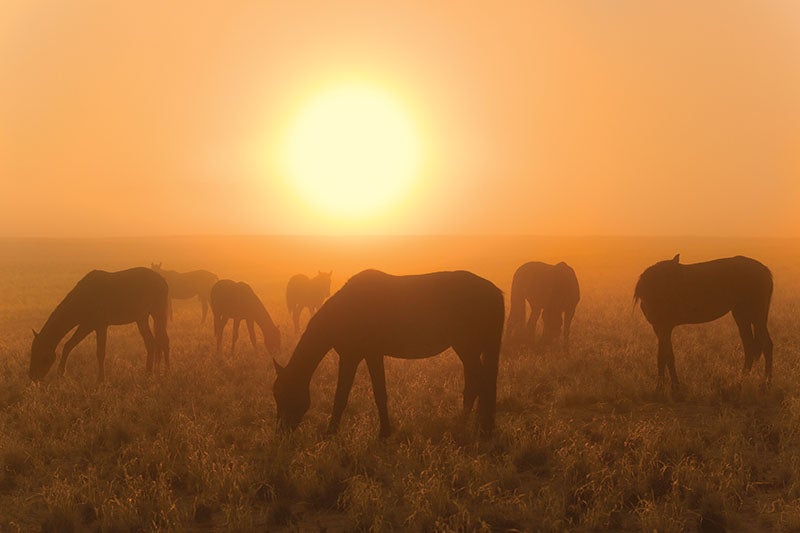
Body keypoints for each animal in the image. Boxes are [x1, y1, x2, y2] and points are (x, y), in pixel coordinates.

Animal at [30, 268, 170, 380]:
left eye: (40, 354)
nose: (32, 376)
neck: (83, 298)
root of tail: (163, 280)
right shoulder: (89, 325)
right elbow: (69, 345)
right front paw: (61, 373)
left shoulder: (95, 325)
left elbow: (100, 352)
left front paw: (101, 379)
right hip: (141, 318)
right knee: (151, 343)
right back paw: (148, 373)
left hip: (158, 314)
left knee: (164, 341)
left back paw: (165, 373)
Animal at [272, 268, 504, 438]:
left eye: (284, 394)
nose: (281, 432)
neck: (347, 310)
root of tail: (494, 291)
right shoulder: (357, 356)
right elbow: (359, 393)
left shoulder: (361, 355)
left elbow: (357, 394)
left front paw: (335, 433)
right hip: (470, 349)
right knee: (477, 382)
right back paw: (476, 424)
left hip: (466, 346)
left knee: (480, 381)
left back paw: (471, 427)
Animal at [636, 254, 772, 390]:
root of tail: (765, 271)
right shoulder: (659, 328)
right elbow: (666, 355)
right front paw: (670, 386)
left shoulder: (664, 327)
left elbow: (664, 356)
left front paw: (665, 387)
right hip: (742, 316)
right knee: (749, 346)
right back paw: (740, 382)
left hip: (756, 316)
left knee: (766, 345)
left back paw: (766, 384)